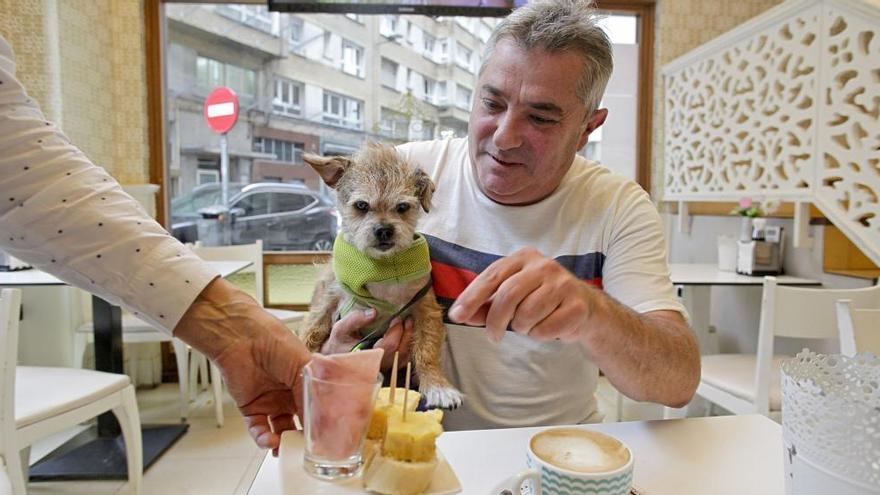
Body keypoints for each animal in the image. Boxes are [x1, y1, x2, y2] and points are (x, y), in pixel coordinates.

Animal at [302, 141, 464, 408]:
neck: (382, 269)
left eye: (402, 207)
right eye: (361, 206)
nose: (384, 230)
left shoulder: (425, 307)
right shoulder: (327, 301)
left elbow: (427, 350)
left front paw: (438, 385)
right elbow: (310, 333)